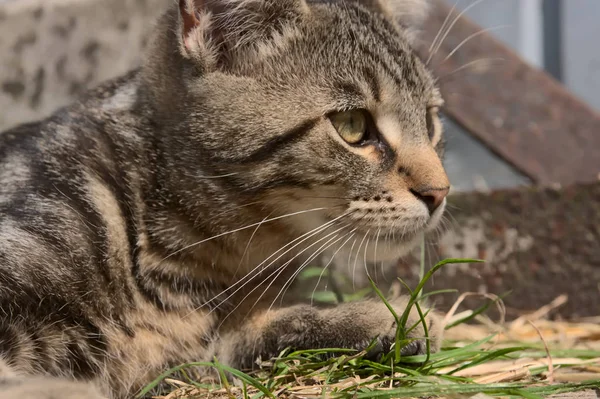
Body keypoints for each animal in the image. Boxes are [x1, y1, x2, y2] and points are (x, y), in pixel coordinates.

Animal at [0, 0, 450, 398]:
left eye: (430, 121)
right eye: (352, 125)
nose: (440, 192)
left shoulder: (187, 360)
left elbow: (259, 335)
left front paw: (383, 320)